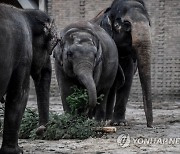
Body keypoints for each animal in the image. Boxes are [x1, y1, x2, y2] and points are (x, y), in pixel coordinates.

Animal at [0, 3, 58, 154]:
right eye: (54, 43)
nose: (40, 130)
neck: (25, 12)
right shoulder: (23, 53)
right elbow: (20, 94)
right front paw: (16, 151)